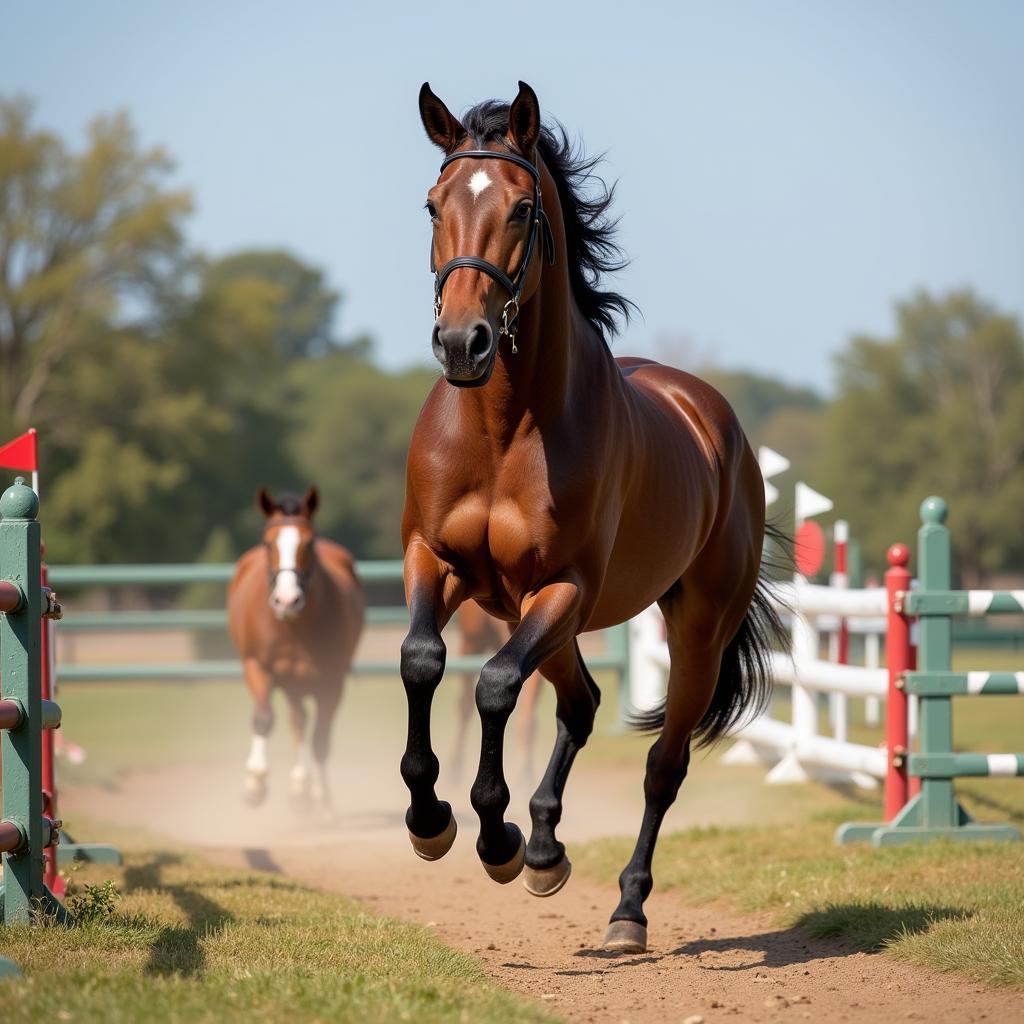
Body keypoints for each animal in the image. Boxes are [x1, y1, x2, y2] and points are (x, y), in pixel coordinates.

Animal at [228, 487, 364, 815]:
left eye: (309, 543)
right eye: (268, 543)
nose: (287, 599)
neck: (293, 627)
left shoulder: (332, 683)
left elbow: (321, 741)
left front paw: (322, 800)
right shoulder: (257, 667)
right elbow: (264, 719)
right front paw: (255, 782)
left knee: (303, 726)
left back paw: (305, 789)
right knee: (296, 722)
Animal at [399, 83, 782, 954]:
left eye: (520, 209)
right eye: (434, 204)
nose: (462, 343)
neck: (503, 429)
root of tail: (717, 423)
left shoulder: (563, 588)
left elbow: (496, 686)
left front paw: (494, 836)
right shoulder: (434, 563)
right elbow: (422, 661)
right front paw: (431, 819)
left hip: (694, 628)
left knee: (662, 765)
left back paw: (623, 909)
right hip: (543, 618)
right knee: (579, 705)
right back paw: (545, 849)